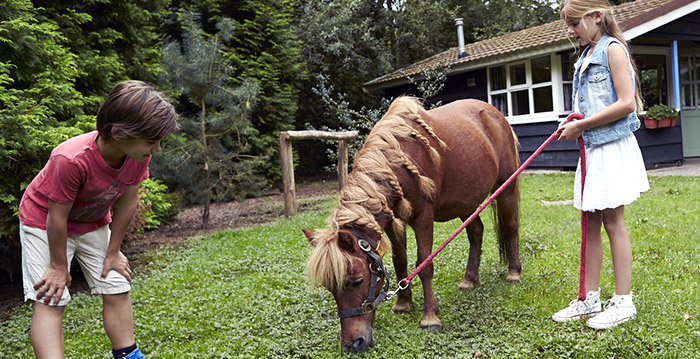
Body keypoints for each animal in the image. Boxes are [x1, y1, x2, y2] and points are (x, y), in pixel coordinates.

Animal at [300, 96, 520, 354]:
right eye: (329, 287)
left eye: (357, 281)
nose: (352, 343)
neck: (397, 159)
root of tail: (496, 115)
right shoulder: (393, 222)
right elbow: (400, 261)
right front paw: (403, 302)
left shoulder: (423, 217)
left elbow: (424, 264)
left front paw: (430, 317)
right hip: (467, 202)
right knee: (476, 233)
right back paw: (469, 279)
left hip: (507, 187)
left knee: (510, 227)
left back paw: (514, 272)